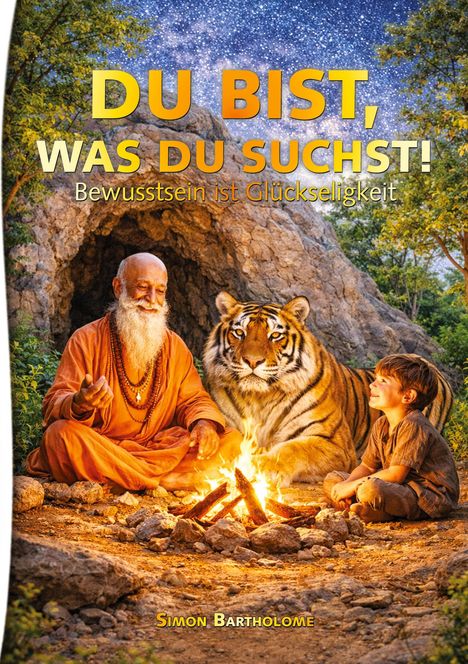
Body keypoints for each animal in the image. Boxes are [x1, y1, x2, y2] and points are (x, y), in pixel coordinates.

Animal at [203, 291, 453, 486]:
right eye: (239, 333)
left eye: (275, 335)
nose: (252, 361)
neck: (260, 398)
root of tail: (428, 364)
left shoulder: (333, 441)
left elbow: (293, 449)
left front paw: (261, 467)